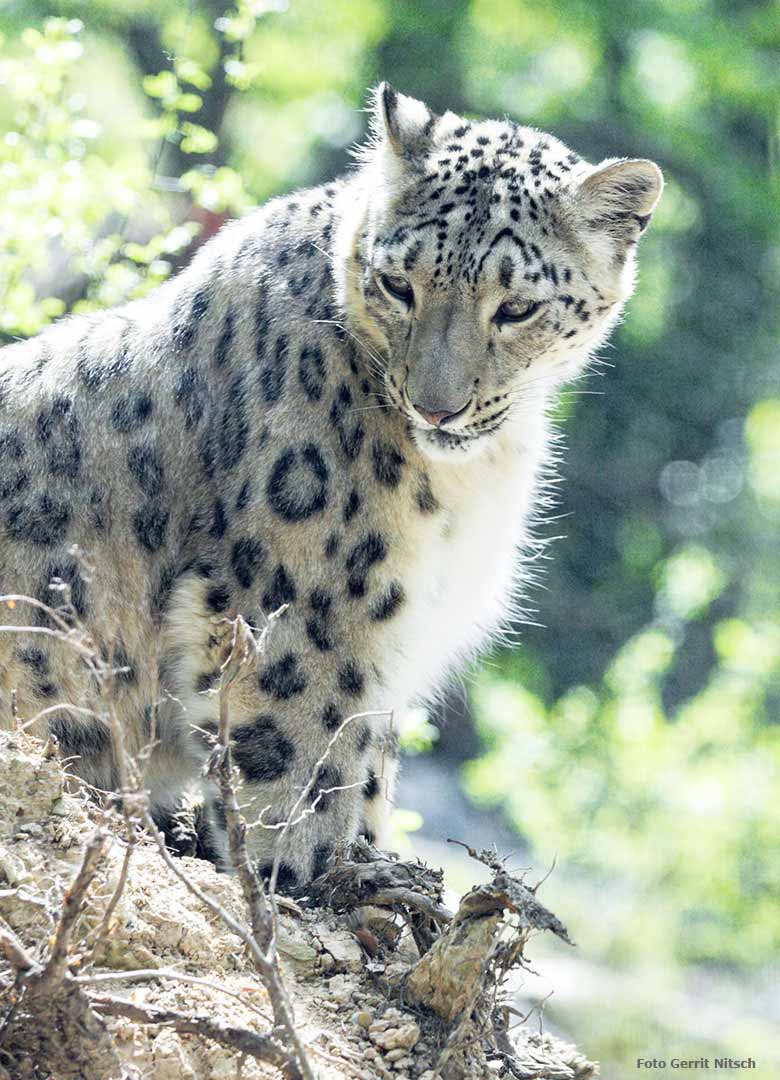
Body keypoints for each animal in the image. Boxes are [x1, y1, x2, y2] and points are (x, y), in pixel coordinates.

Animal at [0, 86, 661, 885]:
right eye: (399, 284)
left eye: (517, 307)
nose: (436, 406)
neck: (467, 484)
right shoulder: (307, 607)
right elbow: (303, 757)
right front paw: (304, 876)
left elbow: (369, 761)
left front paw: (374, 858)